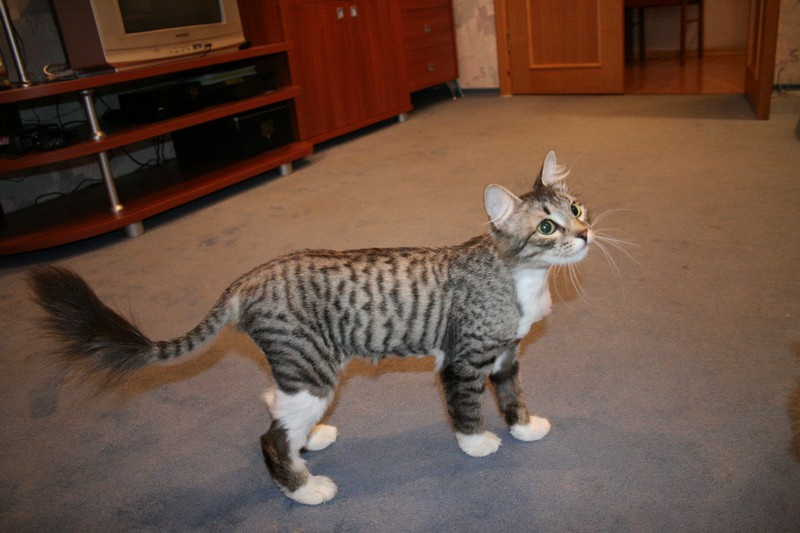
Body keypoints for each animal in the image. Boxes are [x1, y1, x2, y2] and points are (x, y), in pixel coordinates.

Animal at [29, 151, 593, 505]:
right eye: (547, 227)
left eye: (576, 208)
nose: (586, 233)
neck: (520, 277)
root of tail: (251, 276)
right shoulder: (465, 359)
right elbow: (468, 409)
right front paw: (477, 445)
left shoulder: (506, 355)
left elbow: (514, 397)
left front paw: (524, 428)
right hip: (313, 369)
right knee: (270, 438)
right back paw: (305, 489)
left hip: (302, 372)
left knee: (274, 404)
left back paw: (312, 440)